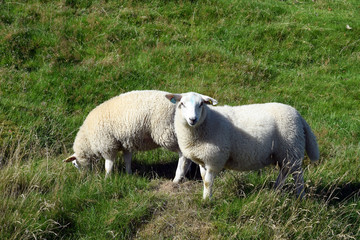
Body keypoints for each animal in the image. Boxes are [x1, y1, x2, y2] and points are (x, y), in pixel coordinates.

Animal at [64, 89, 194, 182]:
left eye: (74, 164)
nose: (83, 177)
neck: (88, 141)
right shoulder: (125, 144)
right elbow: (127, 160)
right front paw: (129, 174)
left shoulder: (107, 146)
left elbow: (108, 165)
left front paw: (106, 179)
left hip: (166, 133)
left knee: (183, 155)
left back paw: (177, 178)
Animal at [165, 91, 320, 199]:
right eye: (182, 104)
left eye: (201, 104)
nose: (193, 119)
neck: (207, 121)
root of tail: (297, 114)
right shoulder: (204, 159)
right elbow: (204, 179)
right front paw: (205, 197)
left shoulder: (214, 158)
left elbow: (208, 182)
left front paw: (207, 200)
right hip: (285, 153)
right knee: (285, 172)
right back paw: (276, 190)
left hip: (292, 149)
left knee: (298, 175)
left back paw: (300, 197)